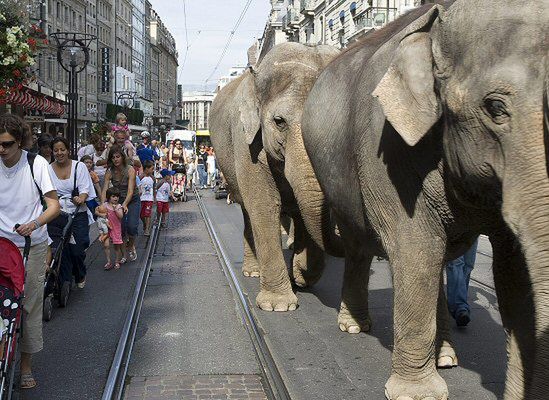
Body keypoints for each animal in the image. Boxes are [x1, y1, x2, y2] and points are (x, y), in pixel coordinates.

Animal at [209, 43, 340, 312]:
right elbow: (264, 204)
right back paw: (252, 272)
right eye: (279, 121)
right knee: (247, 211)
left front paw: (301, 275)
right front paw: (278, 305)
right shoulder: (246, 140)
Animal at [300, 0, 548, 400]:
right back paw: (354, 327)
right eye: (495, 107)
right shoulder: (387, 146)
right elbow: (415, 249)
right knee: (362, 246)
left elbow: (518, 277)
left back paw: (445, 356)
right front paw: (417, 394)